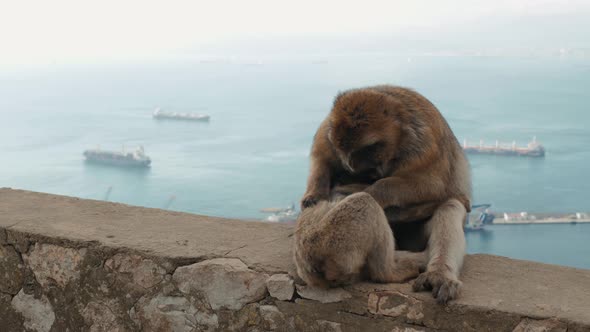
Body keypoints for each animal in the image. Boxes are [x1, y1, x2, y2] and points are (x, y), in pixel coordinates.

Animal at [302, 85, 474, 304]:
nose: (350, 165)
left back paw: (439, 274)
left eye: (368, 148)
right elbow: (321, 157)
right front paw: (315, 193)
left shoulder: (423, 147)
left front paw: (373, 191)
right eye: (346, 152)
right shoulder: (328, 133)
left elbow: (432, 186)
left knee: (450, 206)